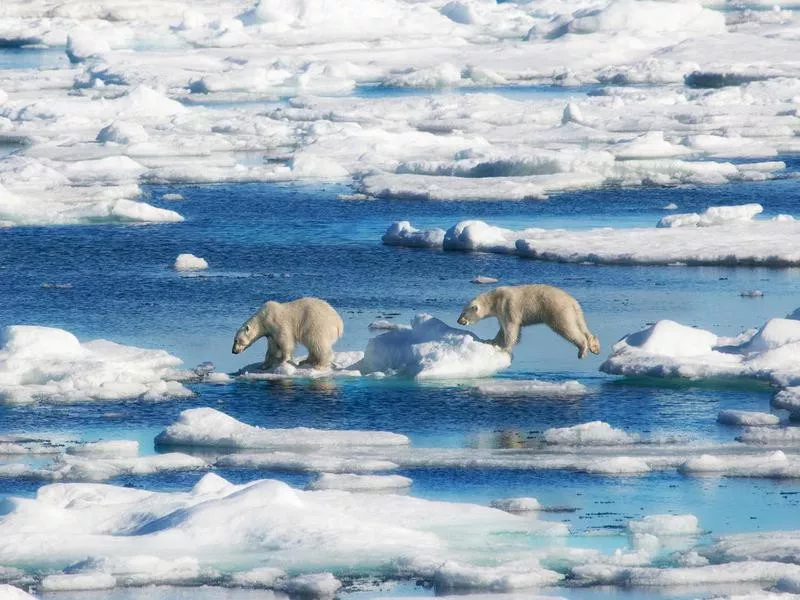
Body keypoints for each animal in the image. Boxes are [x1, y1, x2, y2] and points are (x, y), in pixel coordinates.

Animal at [456, 284, 600, 358]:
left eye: (463, 313)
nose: (458, 320)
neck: (495, 299)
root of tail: (572, 301)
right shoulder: (500, 313)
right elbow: (502, 329)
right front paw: (491, 341)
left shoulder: (507, 306)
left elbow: (511, 328)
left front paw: (504, 348)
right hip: (575, 312)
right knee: (582, 326)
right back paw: (594, 346)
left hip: (557, 309)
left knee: (566, 327)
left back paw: (582, 350)